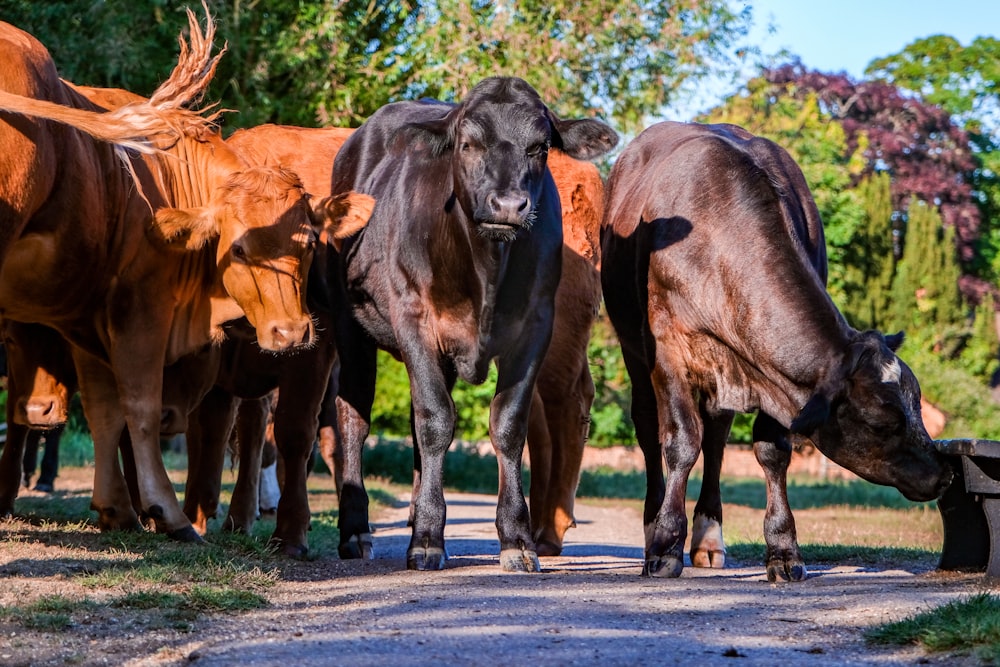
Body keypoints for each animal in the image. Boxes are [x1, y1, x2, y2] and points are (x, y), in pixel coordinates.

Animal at [0, 10, 372, 540]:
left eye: (308, 245)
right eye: (238, 248)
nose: (290, 330)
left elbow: (121, 414)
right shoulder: (130, 314)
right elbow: (135, 410)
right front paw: (160, 511)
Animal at [332, 75, 616, 572]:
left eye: (540, 147)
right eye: (467, 144)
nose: (508, 205)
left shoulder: (536, 325)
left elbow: (508, 425)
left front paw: (516, 538)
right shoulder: (414, 320)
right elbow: (434, 421)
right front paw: (428, 539)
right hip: (351, 329)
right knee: (354, 418)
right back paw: (355, 531)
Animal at [600, 122, 952, 580]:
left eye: (918, 405)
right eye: (880, 423)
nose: (944, 474)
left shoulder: (770, 372)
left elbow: (771, 450)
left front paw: (784, 549)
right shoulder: (668, 348)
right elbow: (680, 442)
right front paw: (664, 546)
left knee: (716, 437)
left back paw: (709, 538)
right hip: (634, 349)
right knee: (648, 427)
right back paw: (652, 526)